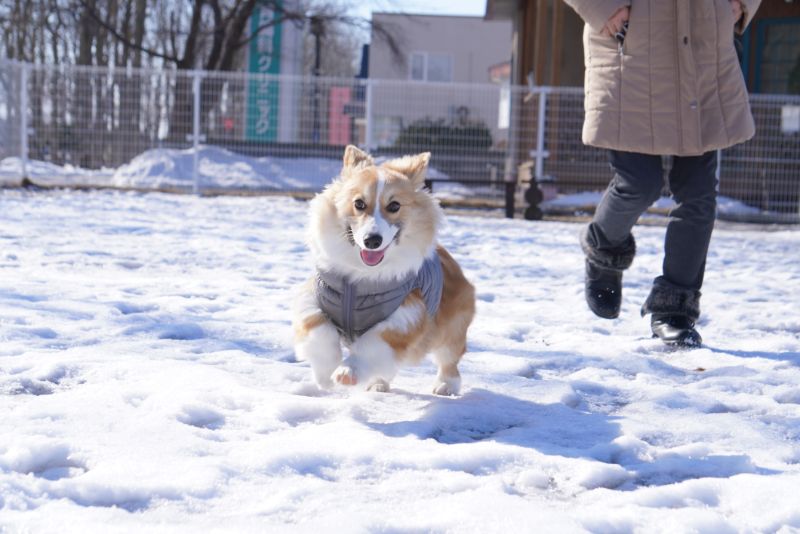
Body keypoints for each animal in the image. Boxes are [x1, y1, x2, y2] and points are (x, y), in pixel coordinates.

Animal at [294, 144, 476, 396]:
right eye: (359, 204)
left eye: (394, 206)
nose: (372, 240)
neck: (358, 280)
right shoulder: (315, 298)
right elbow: (320, 330)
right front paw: (326, 375)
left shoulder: (406, 315)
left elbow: (372, 344)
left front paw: (347, 372)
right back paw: (378, 383)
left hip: (452, 328)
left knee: (449, 358)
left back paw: (445, 386)